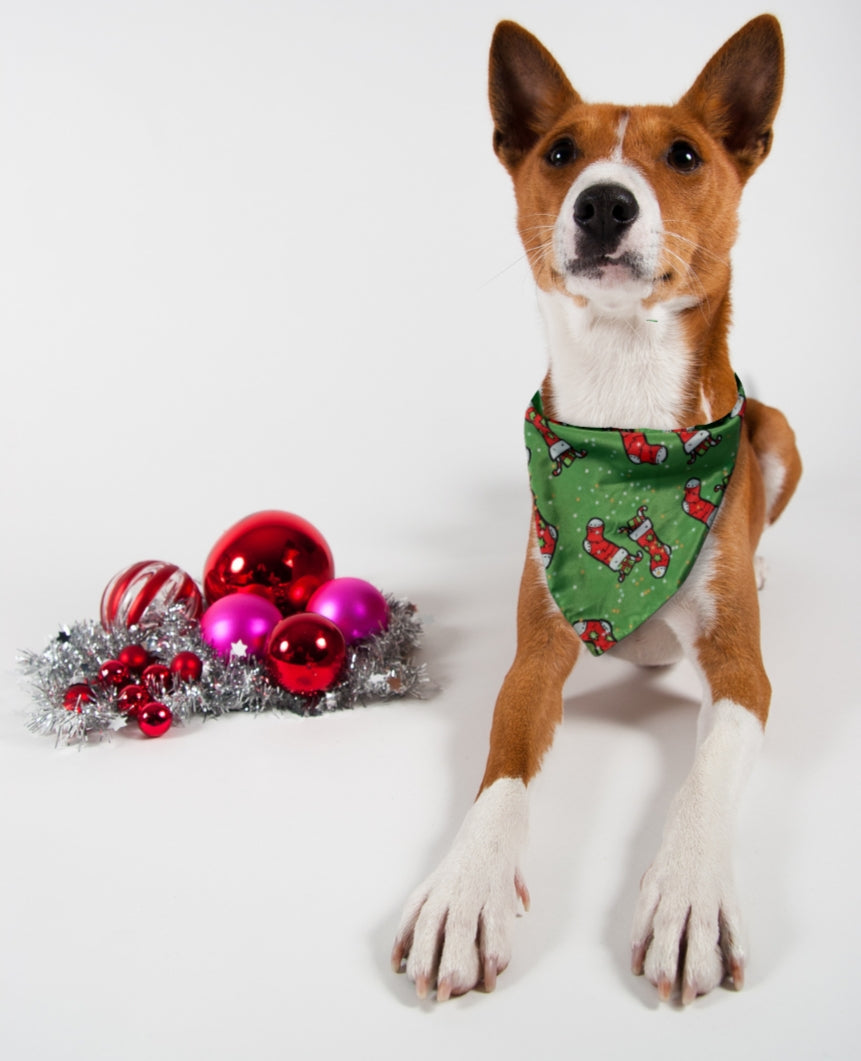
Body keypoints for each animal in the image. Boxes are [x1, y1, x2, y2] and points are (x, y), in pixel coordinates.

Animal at [390, 14, 802, 1001]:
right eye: (560, 151)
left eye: (684, 154)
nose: (604, 203)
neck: (625, 434)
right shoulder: (536, 650)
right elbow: (500, 772)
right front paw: (464, 890)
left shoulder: (742, 669)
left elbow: (706, 773)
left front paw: (689, 893)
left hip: (778, 430)